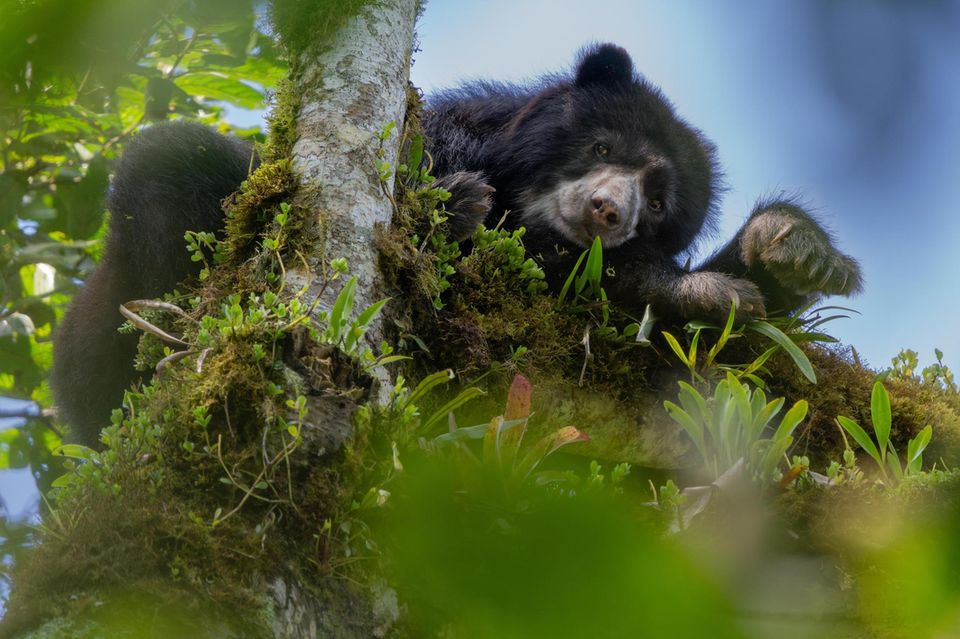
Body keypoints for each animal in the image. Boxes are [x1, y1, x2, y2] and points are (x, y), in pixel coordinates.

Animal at [50, 43, 864, 444]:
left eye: (658, 204)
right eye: (602, 144)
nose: (605, 210)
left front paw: (790, 252)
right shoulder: (449, 136)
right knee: (166, 160)